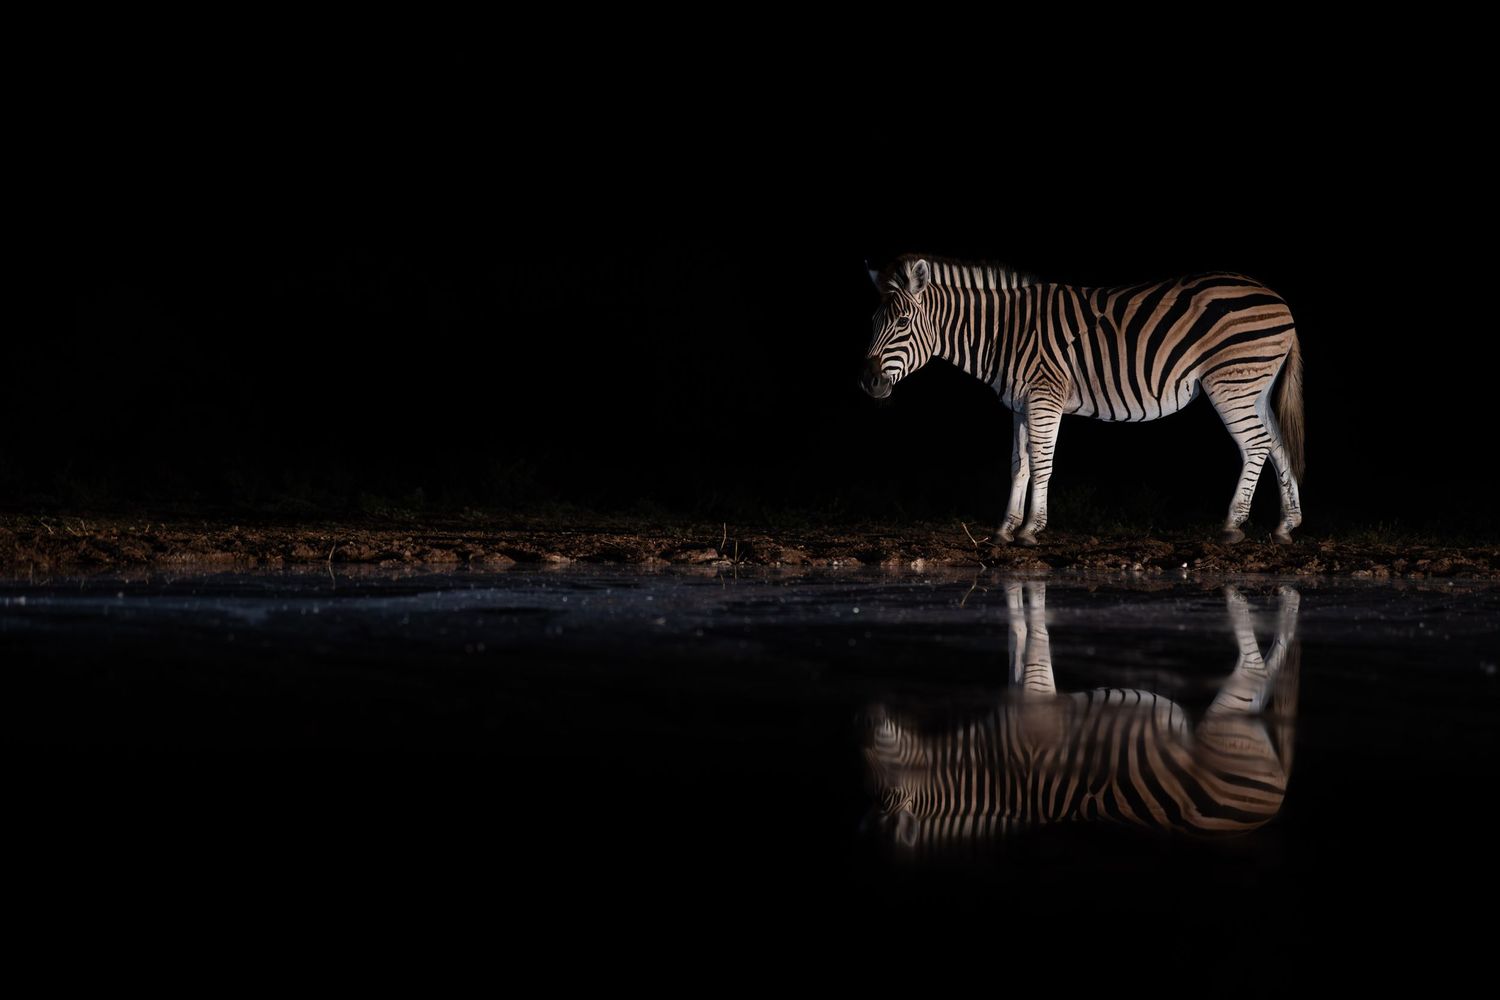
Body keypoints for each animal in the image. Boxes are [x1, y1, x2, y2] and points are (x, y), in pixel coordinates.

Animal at [861, 255, 1304, 544]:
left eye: (903, 322)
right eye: (873, 322)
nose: (868, 381)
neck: (1003, 333)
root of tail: (1279, 300)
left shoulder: (1044, 396)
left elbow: (1042, 462)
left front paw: (1030, 530)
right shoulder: (1021, 404)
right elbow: (1019, 464)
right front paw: (1006, 528)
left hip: (1230, 383)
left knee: (1256, 445)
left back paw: (1233, 525)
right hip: (1255, 385)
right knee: (1277, 443)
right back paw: (1286, 526)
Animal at [862, 583, 1301, 854]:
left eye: (879, 763)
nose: (867, 715)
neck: (992, 768)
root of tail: (1273, 805)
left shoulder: (1037, 705)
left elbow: (1034, 640)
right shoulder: (1026, 698)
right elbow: (1018, 644)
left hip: (1225, 728)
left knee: (1254, 669)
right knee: (1261, 680)